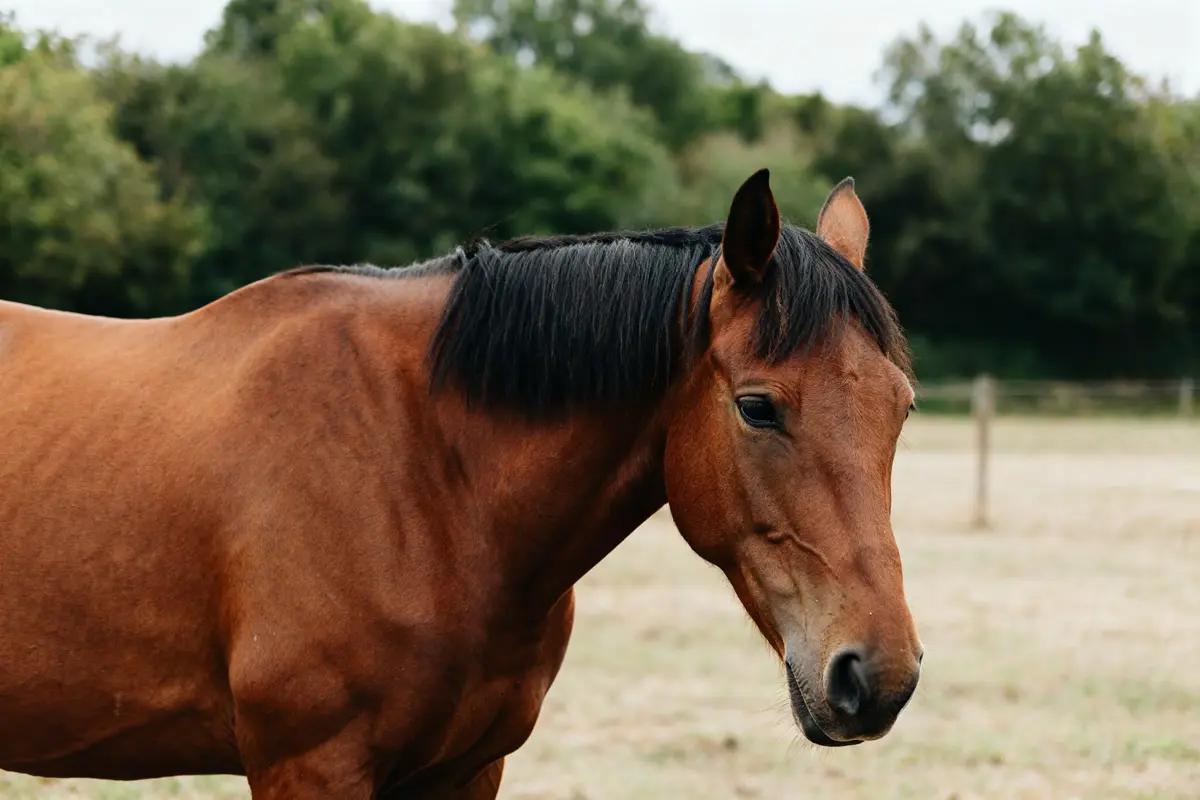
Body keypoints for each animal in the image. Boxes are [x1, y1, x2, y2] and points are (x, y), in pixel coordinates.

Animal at [0, 170, 922, 798]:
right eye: (757, 407)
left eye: (902, 407)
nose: (876, 677)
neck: (428, 480)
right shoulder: (310, 766)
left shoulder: (469, 768)